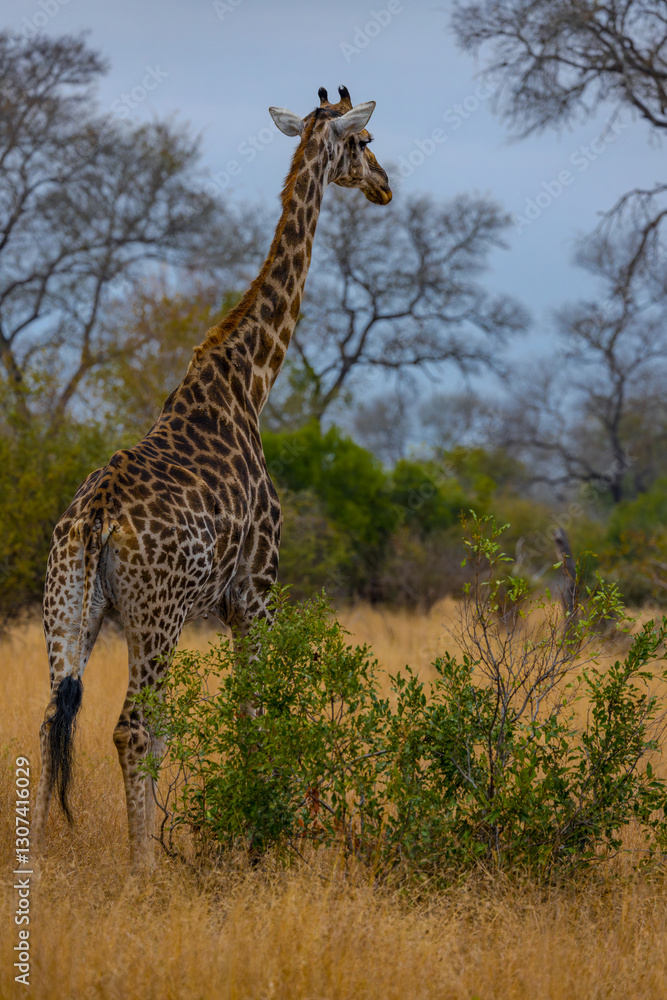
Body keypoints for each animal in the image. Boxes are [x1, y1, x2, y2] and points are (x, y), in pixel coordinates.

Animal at [33, 86, 392, 868]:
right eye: (364, 140)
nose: (386, 186)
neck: (248, 380)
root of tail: (95, 516)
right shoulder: (254, 590)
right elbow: (257, 716)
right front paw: (256, 844)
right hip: (156, 615)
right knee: (132, 726)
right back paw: (142, 869)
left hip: (70, 607)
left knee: (55, 718)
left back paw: (37, 856)